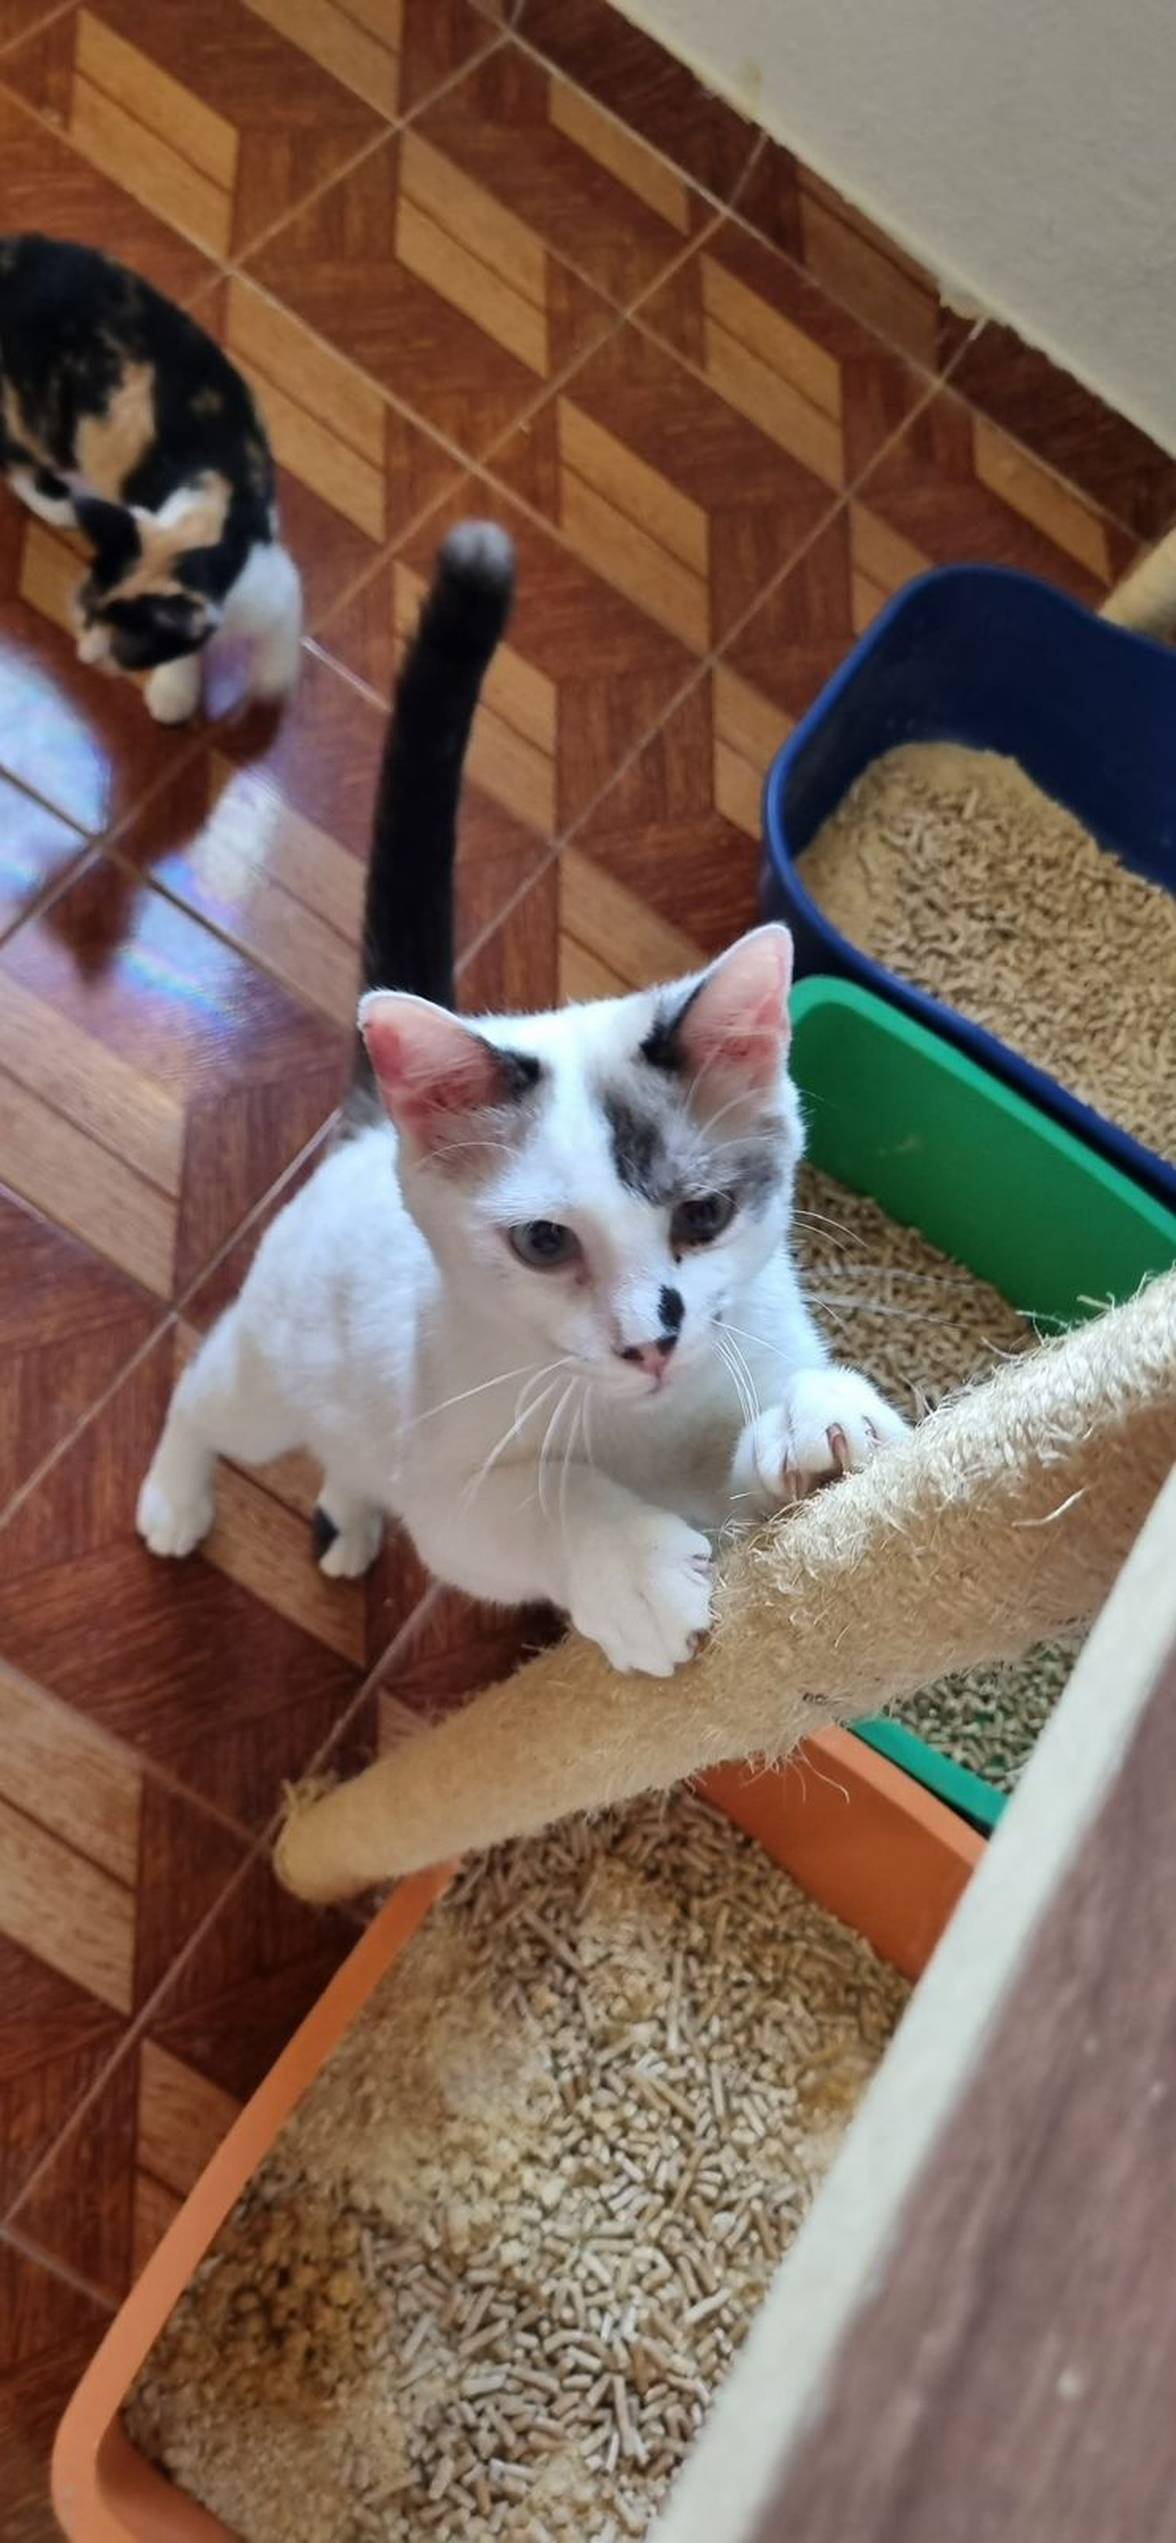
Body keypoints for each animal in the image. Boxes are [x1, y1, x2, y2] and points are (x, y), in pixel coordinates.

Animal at [0, 233, 301, 724]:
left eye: (127, 644)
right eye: (88, 614)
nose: (85, 656)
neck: (205, 521)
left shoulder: (275, 581)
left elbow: (282, 636)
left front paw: (272, 683)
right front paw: (175, 691)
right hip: (32, 410)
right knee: (15, 455)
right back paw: (57, 504)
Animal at [137, 520, 906, 1676]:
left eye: (705, 1213)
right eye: (545, 1242)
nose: (652, 1341)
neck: (647, 1426)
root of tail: (369, 1123)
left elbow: (765, 1457)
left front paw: (817, 1421)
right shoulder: (455, 1502)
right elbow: (536, 1500)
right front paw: (628, 1568)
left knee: (351, 1451)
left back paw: (349, 1512)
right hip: (273, 1364)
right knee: (204, 1394)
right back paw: (176, 1497)